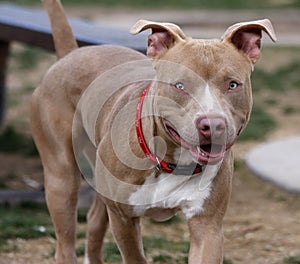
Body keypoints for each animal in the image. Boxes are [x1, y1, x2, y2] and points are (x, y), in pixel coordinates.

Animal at [30, 1, 276, 262]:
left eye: (233, 84)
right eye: (180, 85)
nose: (213, 124)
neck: (171, 161)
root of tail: (70, 54)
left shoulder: (207, 225)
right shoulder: (124, 220)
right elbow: (135, 256)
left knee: (94, 220)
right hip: (61, 179)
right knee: (65, 240)